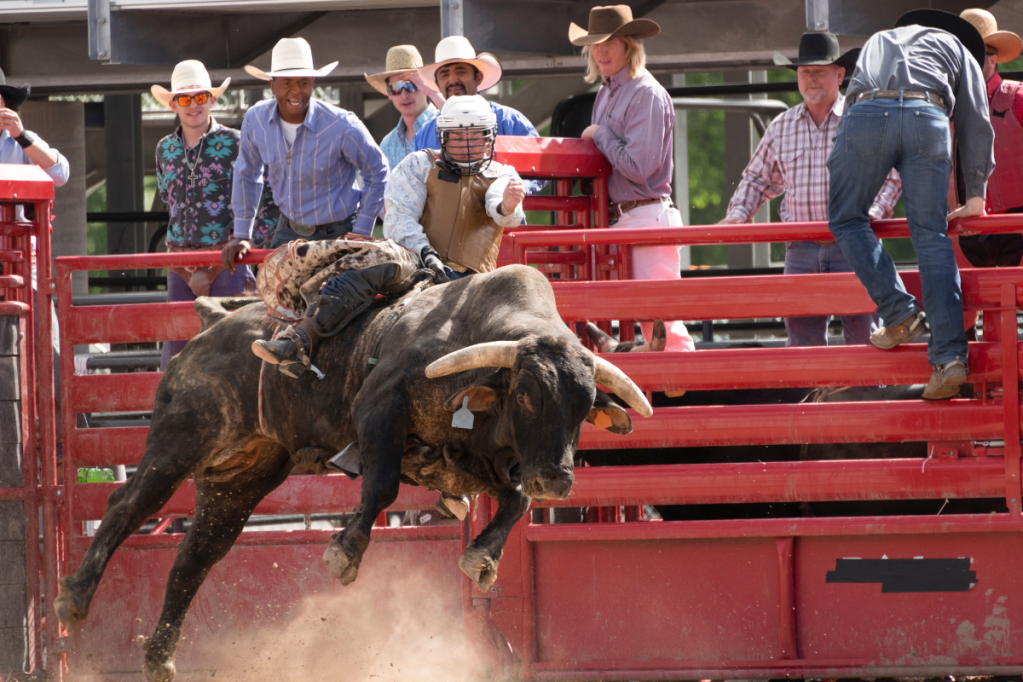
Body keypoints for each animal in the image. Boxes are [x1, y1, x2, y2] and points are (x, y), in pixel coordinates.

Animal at [51, 241, 650, 682]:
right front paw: (344, 552)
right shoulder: (379, 407)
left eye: (584, 406)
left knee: (196, 556)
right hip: (182, 437)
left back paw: (159, 658)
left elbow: (515, 501)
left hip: (239, 478)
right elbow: (381, 485)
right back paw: (73, 599)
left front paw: (482, 557)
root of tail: (211, 325)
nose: (558, 478)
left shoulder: (474, 463)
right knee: (128, 505)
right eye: (525, 395)